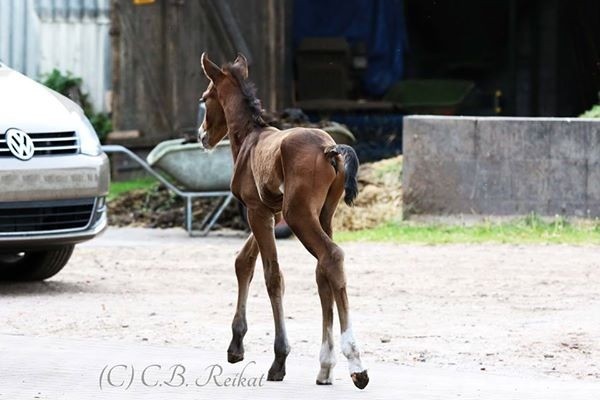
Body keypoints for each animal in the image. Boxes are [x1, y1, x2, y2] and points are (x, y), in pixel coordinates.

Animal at [198, 54, 366, 390]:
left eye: (205, 98)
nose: (201, 136)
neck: (249, 137)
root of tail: (329, 149)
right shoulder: (270, 211)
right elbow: (243, 262)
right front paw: (235, 346)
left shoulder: (257, 211)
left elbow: (272, 276)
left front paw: (279, 360)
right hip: (322, 214)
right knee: (324, 270)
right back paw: (326, 366)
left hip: (299, 214)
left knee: (331, 256)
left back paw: (355, 363)